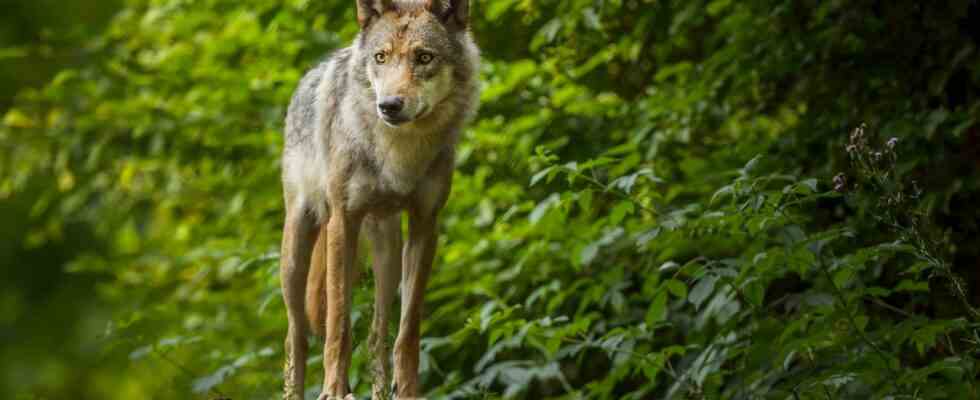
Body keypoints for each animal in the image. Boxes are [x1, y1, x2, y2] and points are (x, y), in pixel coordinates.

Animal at [278, 0, 480, 400]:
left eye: (424, 57)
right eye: (381, 57)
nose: (388, 105)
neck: (400, 153)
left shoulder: (425, 226)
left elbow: (407, 332)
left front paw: (409, 391)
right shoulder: (343, 221)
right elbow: (338, 325)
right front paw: (333, 389)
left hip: (387, 256)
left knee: (376, 334)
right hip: (296, 255)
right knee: (297, 338)